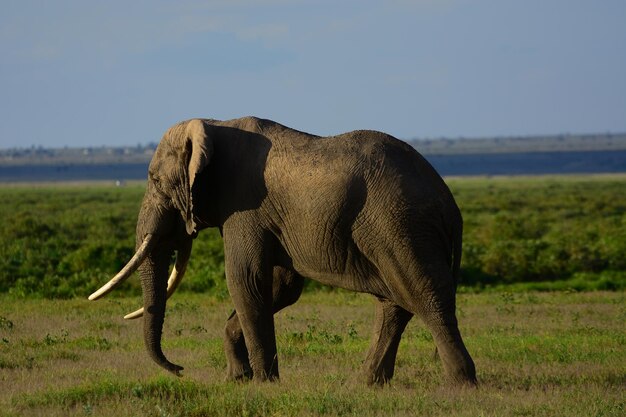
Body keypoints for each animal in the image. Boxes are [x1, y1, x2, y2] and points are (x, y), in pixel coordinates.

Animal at [90, 115, 476, 386]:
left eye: (155, 180)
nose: (180, 369)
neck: (214, 125)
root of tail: (449, 201)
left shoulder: (244, 207)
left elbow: (245, 280)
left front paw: (263, 383)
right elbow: (280, 288)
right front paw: (237, 379)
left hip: (400, 225)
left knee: (426, 296)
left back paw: (461, 385)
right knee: (394, 304)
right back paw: (367, 384)